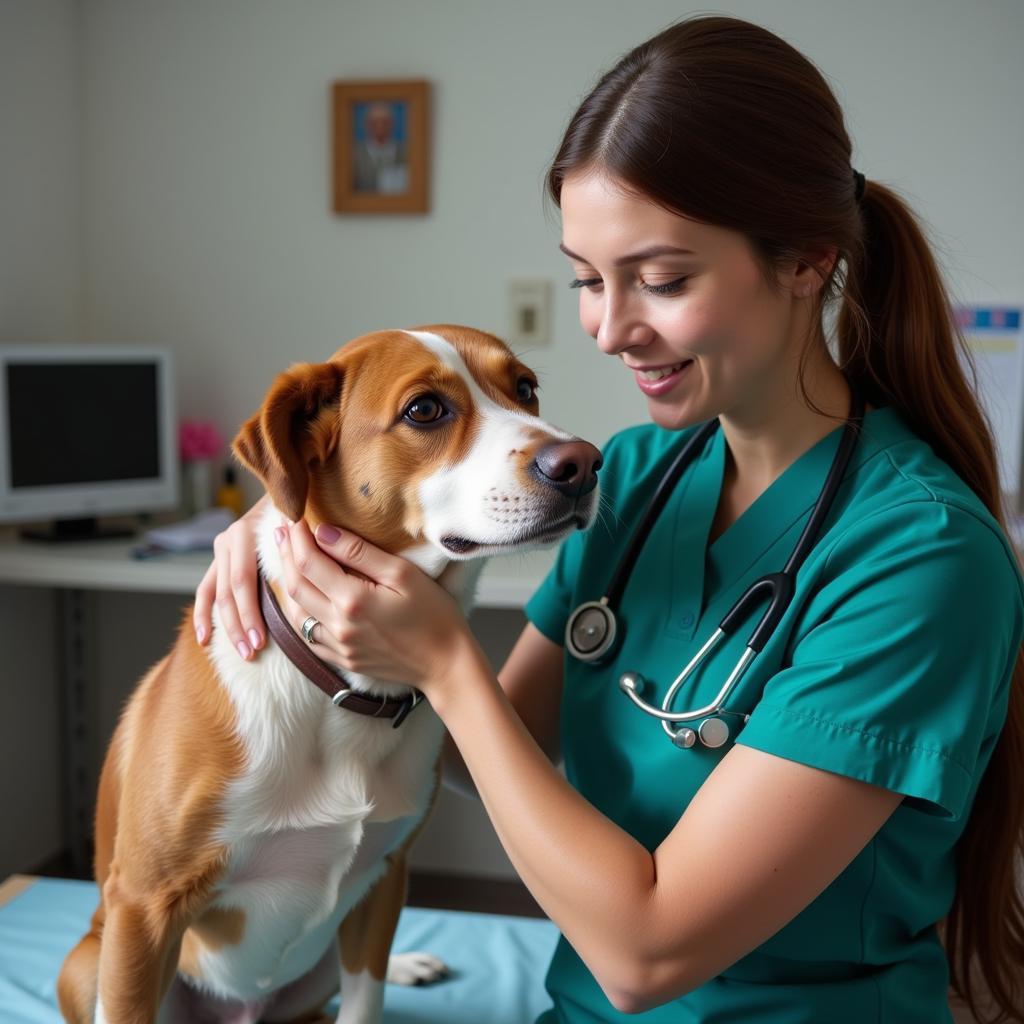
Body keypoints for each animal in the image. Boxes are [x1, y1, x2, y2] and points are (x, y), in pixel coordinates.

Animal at [56, 325, 598, 1024]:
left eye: (525, 388)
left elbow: (364, 996)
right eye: (425, 409)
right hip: (91, 961)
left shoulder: (386, 876)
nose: (584, 462)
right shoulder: (143, 905)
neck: (340, 691)